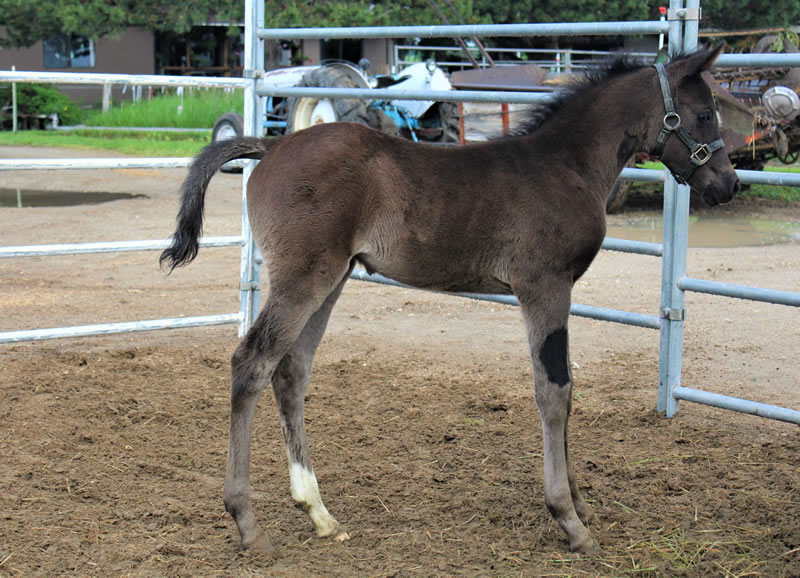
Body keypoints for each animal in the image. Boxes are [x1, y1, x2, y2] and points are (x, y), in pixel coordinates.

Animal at [161, 44, 736, 548]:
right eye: (705, 112)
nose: (727, 184)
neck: (563, 167)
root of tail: (273, 144)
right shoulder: (544, 287)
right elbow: (553, 393)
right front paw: (569, 520)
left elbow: (567, 393)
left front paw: (579, 502)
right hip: (304, 277)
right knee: (251, 363)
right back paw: (247, 522)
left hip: (331, 277)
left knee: (291, 371)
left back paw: (319, 513)